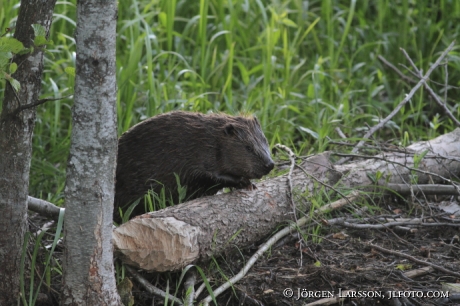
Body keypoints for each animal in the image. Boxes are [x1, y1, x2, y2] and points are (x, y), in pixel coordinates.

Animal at [114, 111, 274, 221]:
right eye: (248, 147)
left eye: (265, 140)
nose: (270, 164)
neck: (211, 139)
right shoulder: (197, 157)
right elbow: (210, 175)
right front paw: (246, 183)